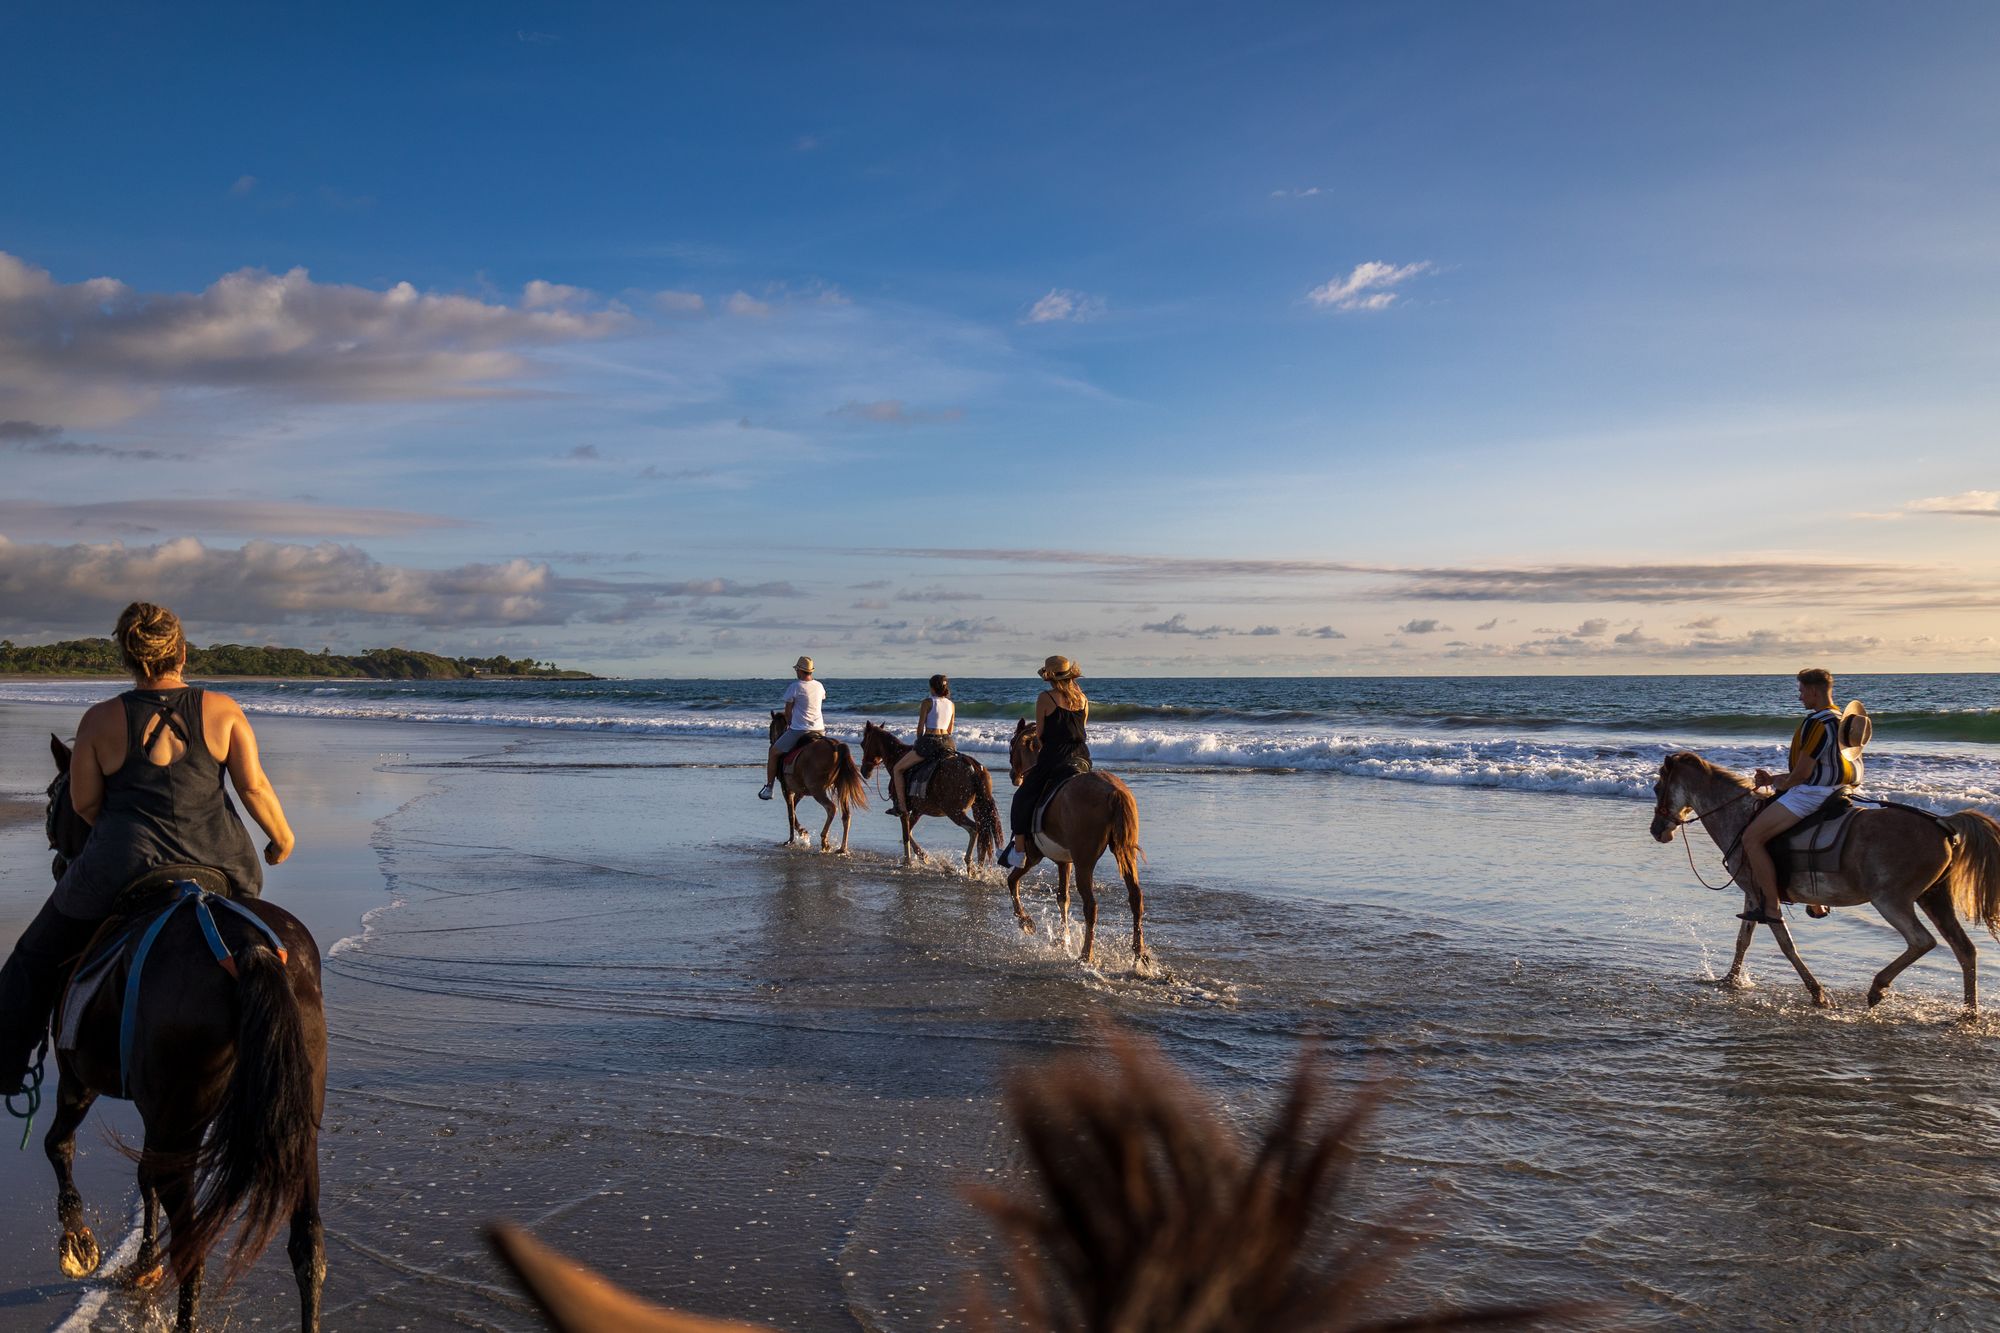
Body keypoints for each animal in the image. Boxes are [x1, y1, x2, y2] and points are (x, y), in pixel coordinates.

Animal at [37, 735, 328, 1330]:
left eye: (55, 797)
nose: (57, 857)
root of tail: (248, 947)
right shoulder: (158, 1117)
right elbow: (143, 1179)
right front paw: (141, 1263)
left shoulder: (79, 1078)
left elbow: (60, 1145)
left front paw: (78, 1243)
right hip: (296, 1125)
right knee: (307, 1247)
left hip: (178, 1116)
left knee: (193, 1250)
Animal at [765, 712, 867, 853]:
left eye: (771, 727)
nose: (771, 742)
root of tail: (836, 746)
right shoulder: (800, 791)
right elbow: (794, 809)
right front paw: (802, 831)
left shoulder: (786, 789)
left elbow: (791, 813)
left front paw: (791, 839)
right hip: (841, 787)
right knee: (846, 815)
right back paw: (842, 848)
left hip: (817, 790)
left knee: (831, 808)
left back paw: (825, 841)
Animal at [856, 722, 1003, 868]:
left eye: (863, 744)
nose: (864, 771)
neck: (897, 757)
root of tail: (972, 765)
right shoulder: (918, 810)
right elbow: (909, 832)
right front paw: (922, 856)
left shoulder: (904, 810)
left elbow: (905, 834)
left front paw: (908, 861)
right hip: (977, 808)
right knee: (983, 837)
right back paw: (979, 869)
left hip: (954, 811)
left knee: (974, 830)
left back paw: (969, 863)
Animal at [1004, 719, 1147, 966]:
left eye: (1012, 742)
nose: (1014, 775)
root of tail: (1114, 792)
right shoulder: (1065, 862)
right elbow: (1063, 898)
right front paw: (1063, 939)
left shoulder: (1034, 856)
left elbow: (1012, 882)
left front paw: (1026, 923)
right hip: (1125, 855)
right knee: (1135, 898)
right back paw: (1140, 955)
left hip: (1084, 862)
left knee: (1091, 906)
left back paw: (1086, 954)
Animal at [1651, 750, 2000, 1011]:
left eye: (1657, 789)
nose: (1657, 830)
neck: (1741, 818)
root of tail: (1942, 823)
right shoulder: (1753, 896)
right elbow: (1743, 940)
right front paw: (1730, 981)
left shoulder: (1763, 897)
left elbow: (1785, 945)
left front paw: (1817, 993)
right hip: (1934, 898)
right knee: (1965, 950)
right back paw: (1968, 1014)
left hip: (1892, 900)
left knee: (1922, 941)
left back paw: (1878, 987)